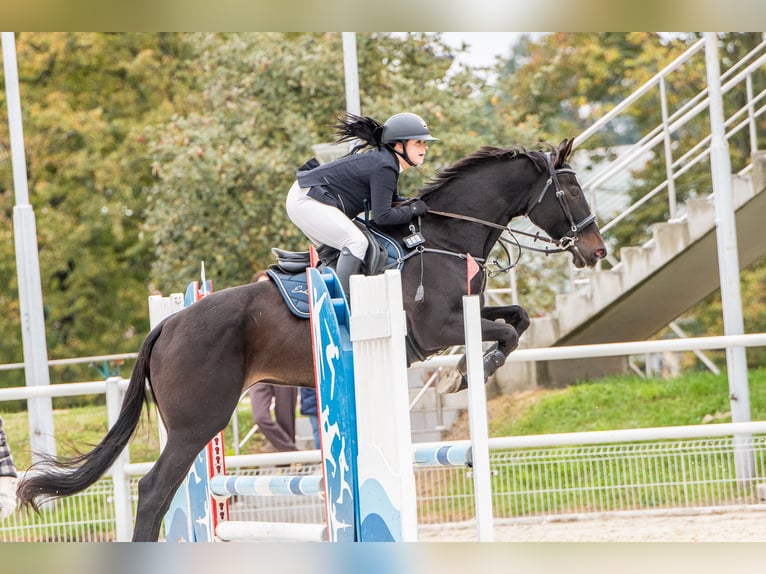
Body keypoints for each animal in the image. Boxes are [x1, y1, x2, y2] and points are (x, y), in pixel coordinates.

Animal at [17, 138, 606, 541]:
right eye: (571, 189)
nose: (596, 252)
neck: (441, 236)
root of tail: (168, 324)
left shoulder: (464, 313)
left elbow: (517, 318)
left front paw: (473, 369)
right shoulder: (433, 329)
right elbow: (503, 330)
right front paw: (468, 373)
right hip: (197, 423)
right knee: (153, 489)